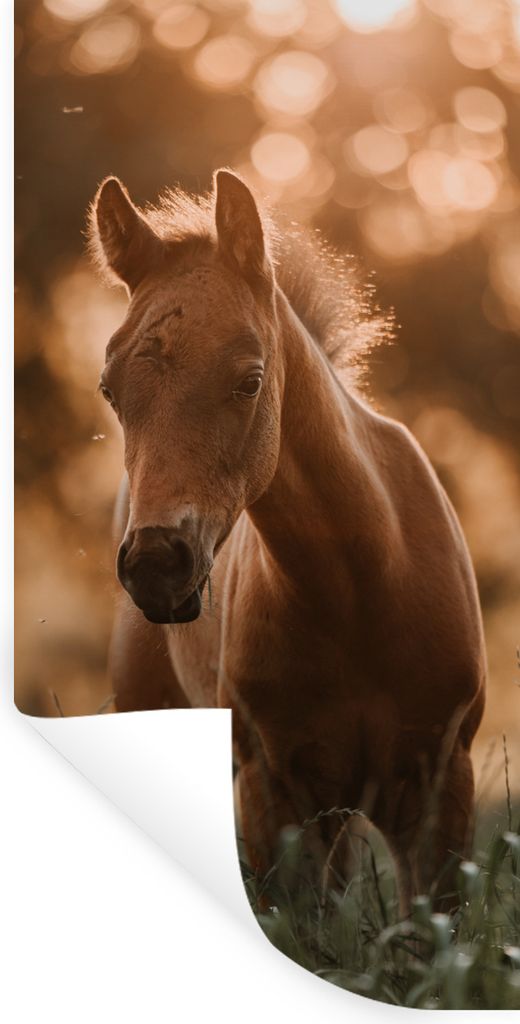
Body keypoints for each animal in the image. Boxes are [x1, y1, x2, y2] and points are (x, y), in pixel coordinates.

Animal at [88, 169, 486, 913]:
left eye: (250, 380)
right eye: (109, 389)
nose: (155, 565)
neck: (357, 588)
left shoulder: (440, 784)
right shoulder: (272, 794)